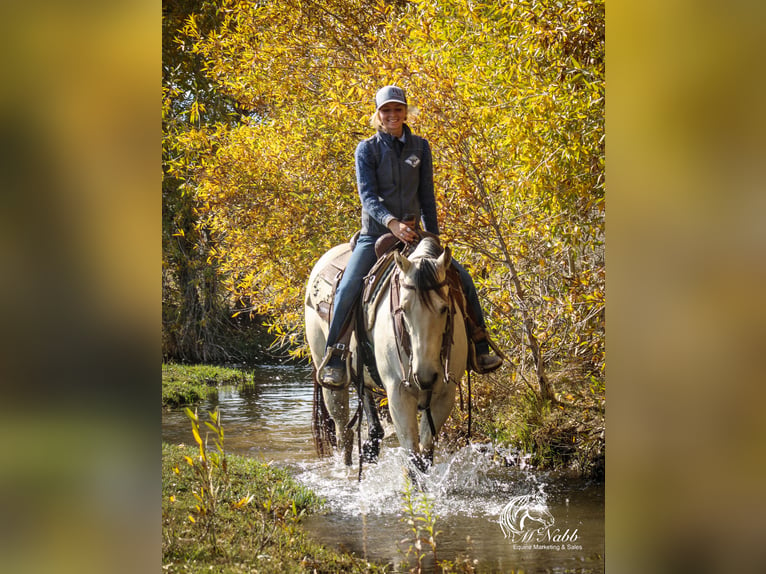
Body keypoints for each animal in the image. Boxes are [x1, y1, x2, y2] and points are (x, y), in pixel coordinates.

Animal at [304, 236, 472, 474]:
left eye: (444, 308)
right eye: (403, 309)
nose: (425, 376)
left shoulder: (445, 395)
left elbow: (426, 454)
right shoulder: (398, 394)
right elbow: (413, 457)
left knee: (366, 403)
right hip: (329, 378)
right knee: (343, 433)